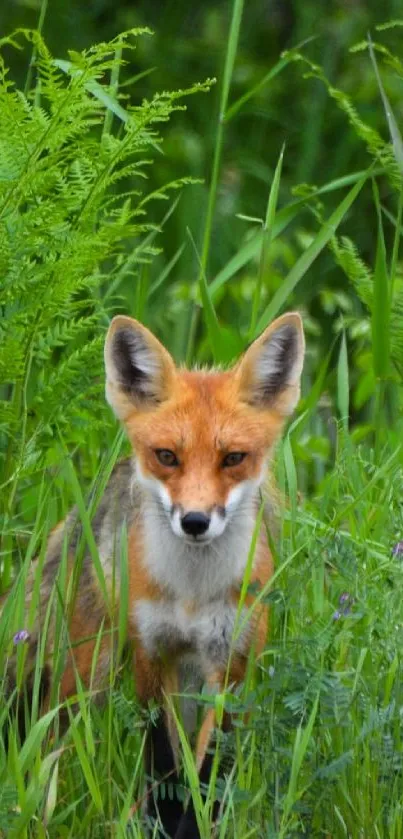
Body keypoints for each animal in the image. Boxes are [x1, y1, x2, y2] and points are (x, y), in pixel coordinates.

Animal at [0, 312, 304, 836]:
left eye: (233, 458)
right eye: (167, 456)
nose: (195, 521)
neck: (191, 593)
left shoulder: (231, 665)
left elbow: (209, 773)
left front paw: (196, 826)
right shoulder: (152, 653)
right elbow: (163, 765)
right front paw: (162, 823)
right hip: (86, 670)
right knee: (45, 743)